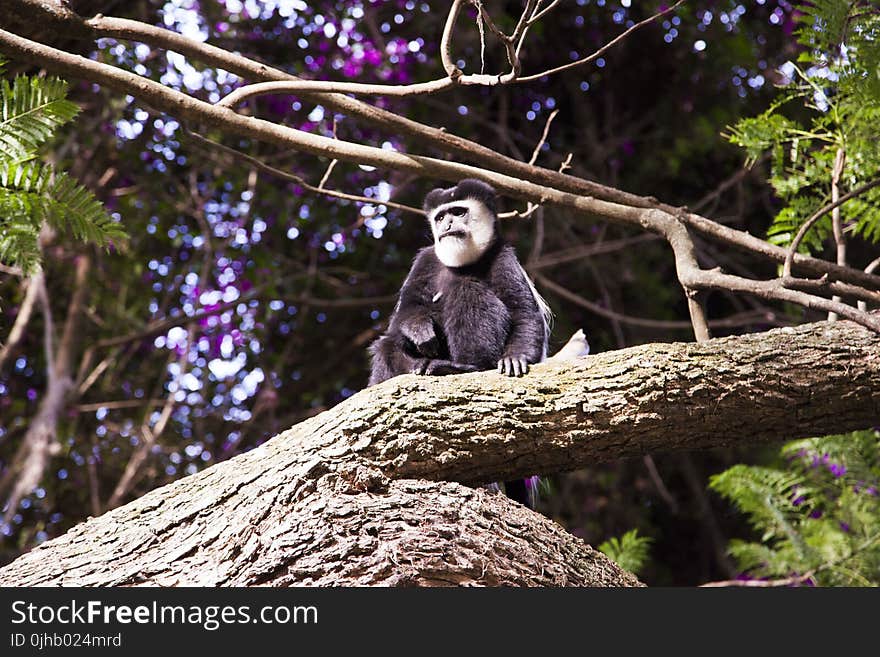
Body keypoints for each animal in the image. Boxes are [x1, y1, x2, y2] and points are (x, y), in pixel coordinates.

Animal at [366, 177, 552, 386]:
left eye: (458, 212)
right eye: (440, 217)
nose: (447, 225)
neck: (461, 262)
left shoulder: (504, 258)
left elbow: (522, 311)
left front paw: (515, 358)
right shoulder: (425, 261)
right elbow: (407, 308)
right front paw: (419, 330)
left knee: (467, 289)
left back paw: (461, 367)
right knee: (388, 344)